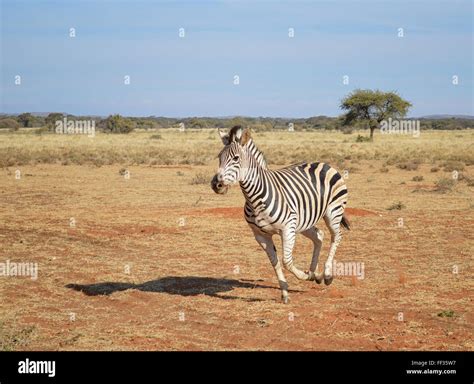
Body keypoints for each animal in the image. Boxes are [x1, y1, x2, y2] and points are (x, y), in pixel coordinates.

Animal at [210, 126, 348, 304]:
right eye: (219, 157)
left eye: (236, 158)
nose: (216, 184)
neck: (255, 198)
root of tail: (323, 163)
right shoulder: (261, 236)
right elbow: (274, 262)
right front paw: (285, 292)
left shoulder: (287, 229)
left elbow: (286, 261)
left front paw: (304, 276)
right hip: (304, 221)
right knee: (319, 235)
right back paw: (316, 273)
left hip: (333, 212)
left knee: (336, 236)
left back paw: (327, 275)